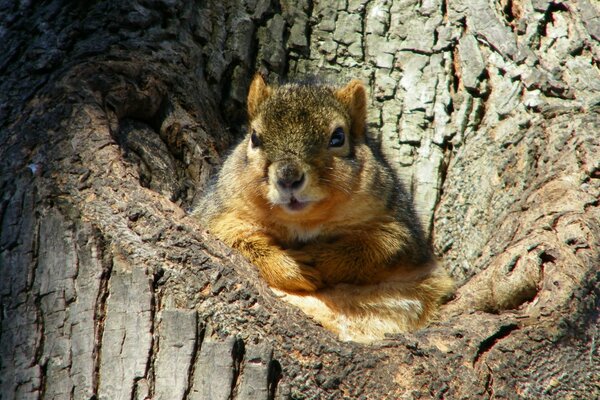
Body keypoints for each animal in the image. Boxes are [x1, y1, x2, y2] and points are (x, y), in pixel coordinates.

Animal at [195, 73, 452, 342]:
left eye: (338, 137)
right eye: (254, 137)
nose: (288, 177)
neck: (304, 221)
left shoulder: (399, 226)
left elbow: (378, 248)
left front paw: (320, 260)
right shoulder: (219, 215)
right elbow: (235, 239)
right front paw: (292, 269)